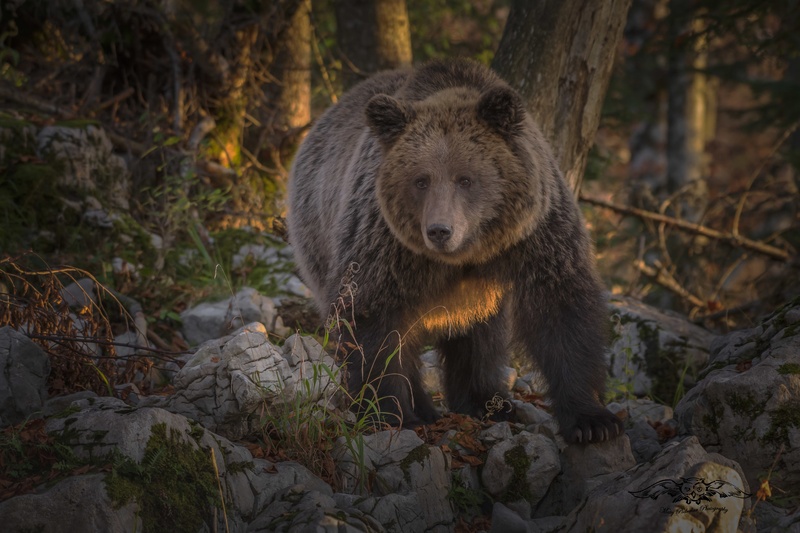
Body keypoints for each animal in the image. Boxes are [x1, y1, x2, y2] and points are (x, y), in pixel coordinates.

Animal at [287, 59, 623, 443]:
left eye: (466, 179)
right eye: (421, 180)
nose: (439, 230)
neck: (466, 254)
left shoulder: (535, 235)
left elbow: (562, 309)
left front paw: (592, 421)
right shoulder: (385, 244)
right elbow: (371, 317)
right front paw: (387, 413)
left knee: (479, 337)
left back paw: (486, 401)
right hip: (316, 237)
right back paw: (425, 407)